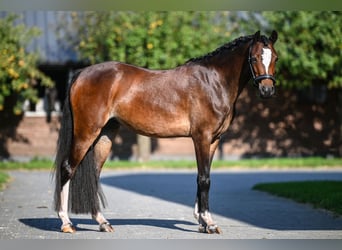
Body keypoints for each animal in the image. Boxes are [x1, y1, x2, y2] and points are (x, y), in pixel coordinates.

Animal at [53, 30, 278, 233]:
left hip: (104, 136)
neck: (213, 82)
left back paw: (102, 222)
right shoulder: (201, 137)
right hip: (86, 132)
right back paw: (66, 223)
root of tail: (81, 74)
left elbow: (202, 176)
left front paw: (202, 221)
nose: (267, 91)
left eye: (275, 57)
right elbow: (204, 179)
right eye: (255, 57)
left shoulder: (214, 140)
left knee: (94, 174)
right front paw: (209, 223)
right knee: (67, 168)